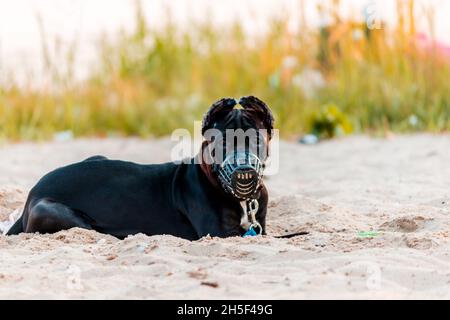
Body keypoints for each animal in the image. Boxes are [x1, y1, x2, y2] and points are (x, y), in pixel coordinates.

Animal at [7, 96, 274, 239]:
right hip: (52, 210)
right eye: (222, 143)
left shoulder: (259, 225)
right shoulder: (218, 232)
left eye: (257, 141)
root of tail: (32, 193)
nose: (244, 171)